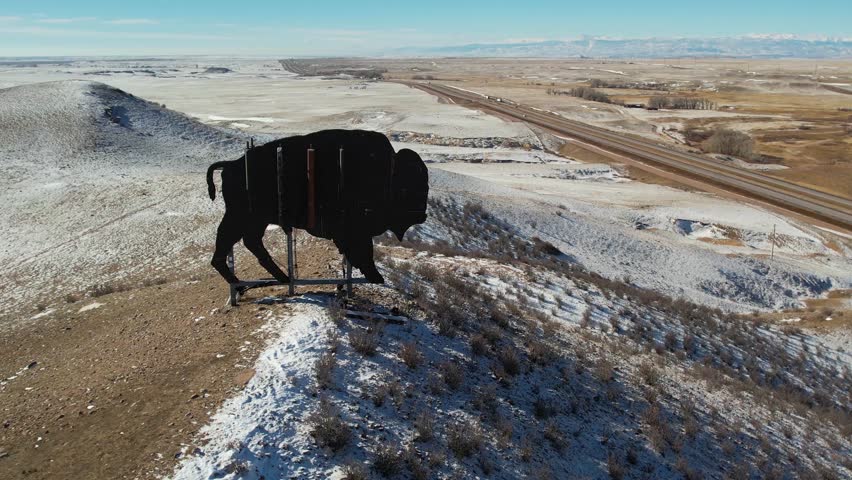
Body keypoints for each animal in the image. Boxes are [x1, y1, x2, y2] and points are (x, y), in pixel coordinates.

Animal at [206, 129, 428, 287]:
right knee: (230, 239)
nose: (422, 215)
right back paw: (238, 280)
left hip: (255, 220)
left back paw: (279, 278)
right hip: (242, 217)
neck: (389, 172)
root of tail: (231, 165)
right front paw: (376, 276)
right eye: (410, 189)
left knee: (249, 242)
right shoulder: (355, 231)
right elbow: (365, 252)